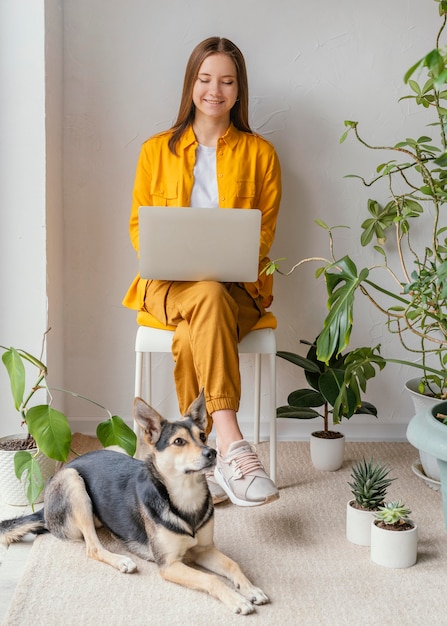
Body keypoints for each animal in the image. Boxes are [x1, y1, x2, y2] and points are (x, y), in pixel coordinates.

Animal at [0, 390, 270, 616]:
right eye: (179, 442)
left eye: (203, 436)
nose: (211, 453)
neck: (184, 495)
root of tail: (45, 510)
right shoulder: (169, 564)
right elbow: (210, 579)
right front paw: (237, 600)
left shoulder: (203, 549)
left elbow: (233, 565)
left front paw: (251, 589)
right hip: (72, 480)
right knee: (92, 547)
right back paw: (121, 560)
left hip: (117, 448)